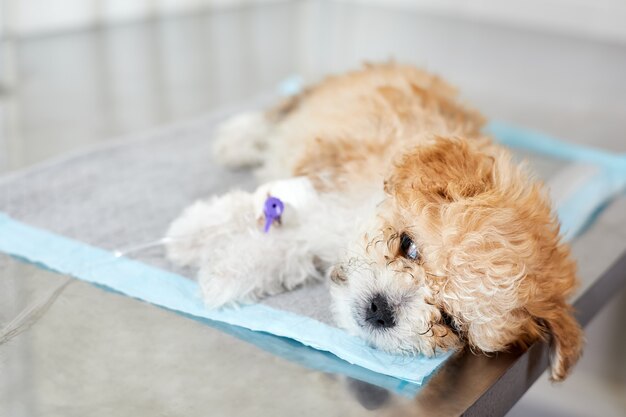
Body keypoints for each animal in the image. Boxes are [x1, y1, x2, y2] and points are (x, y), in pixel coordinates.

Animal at [166, 62, 580, 380]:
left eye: (451, 323)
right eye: (408, 246)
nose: (381, 309)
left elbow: (290, 247)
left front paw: (224, 270)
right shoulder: (324, 182)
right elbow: (253, 210)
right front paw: (193, 235)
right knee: (282, 111)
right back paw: (239, 139)